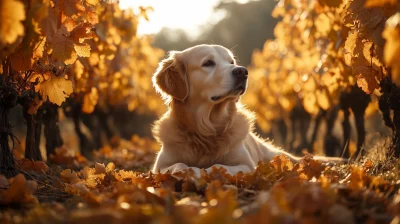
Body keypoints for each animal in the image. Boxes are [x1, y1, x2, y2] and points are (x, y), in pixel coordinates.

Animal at [150, 44, 344, 176]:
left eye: (231, 62)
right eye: (208, 63)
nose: (242, 72)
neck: (208, 130)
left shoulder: (247, 165)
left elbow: (218, 166)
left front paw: (201, 171)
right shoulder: (158, 166)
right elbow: (177, 165)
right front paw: (185, 170)